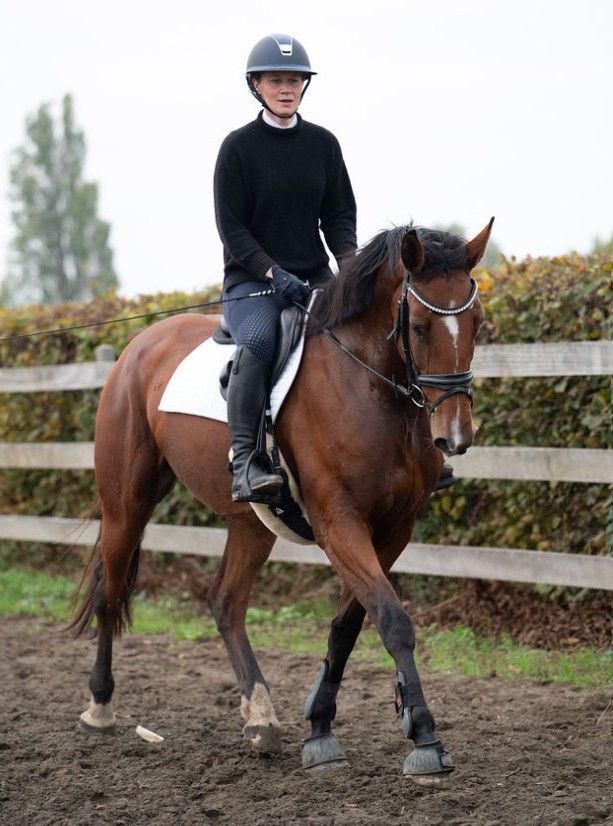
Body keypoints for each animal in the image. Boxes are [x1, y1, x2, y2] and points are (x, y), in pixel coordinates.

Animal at [70, 219, 493, 784]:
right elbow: (392, 620)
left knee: (225, 602)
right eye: (422, 326)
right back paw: (100, 706)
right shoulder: (339, 522)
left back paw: (261, 718)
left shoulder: (394, 528)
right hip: (126, 504)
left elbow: (350, 624)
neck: (366, 384)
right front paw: (424, 736)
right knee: (110, 592)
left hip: (250, 523)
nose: (455, 436)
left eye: (477, 322)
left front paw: (321, 726)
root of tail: (139, 346)